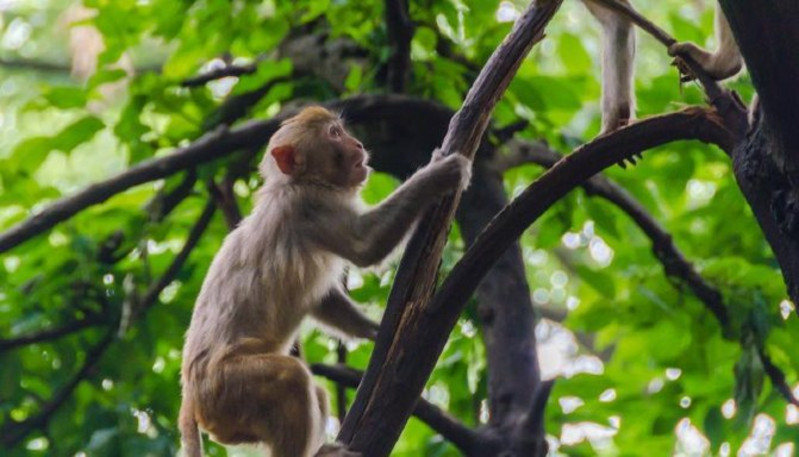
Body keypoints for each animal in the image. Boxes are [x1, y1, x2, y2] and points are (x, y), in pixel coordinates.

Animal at [178, 104, 472, 456]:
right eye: (334, 134)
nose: (357, 144)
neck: (297, 182)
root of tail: (190, 399)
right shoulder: (310, 206)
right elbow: (365, 244)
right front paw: (439, 173)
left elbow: (323, 299)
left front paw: (378, 331)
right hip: (227, 388)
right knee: (291, 380)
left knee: (313, 393)